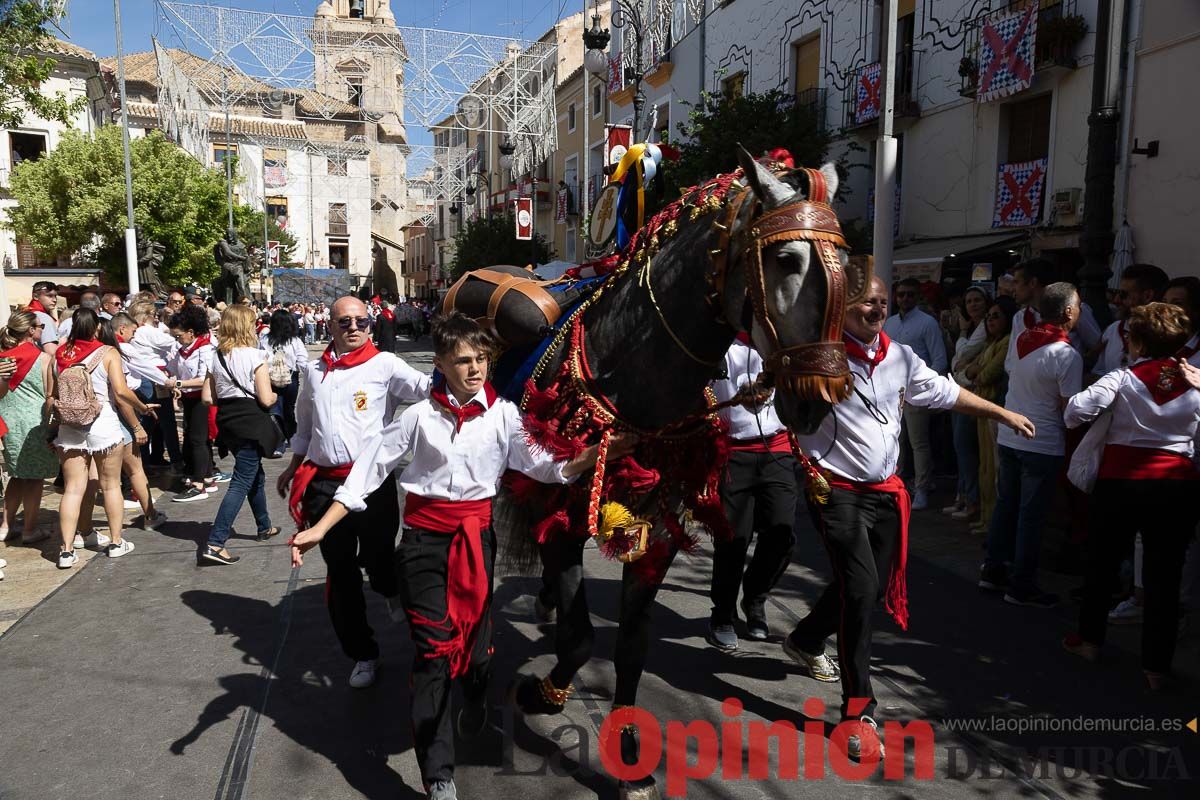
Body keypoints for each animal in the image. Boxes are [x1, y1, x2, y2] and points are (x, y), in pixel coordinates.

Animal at [446, 146, 868, 796]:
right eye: (785, 259)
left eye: (846, 262)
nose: (819, 398)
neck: (629, 362)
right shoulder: (566, 511)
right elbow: (580, 638)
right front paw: (543, 692)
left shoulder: (656, 525)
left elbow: (632, 645)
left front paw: (627, 753)